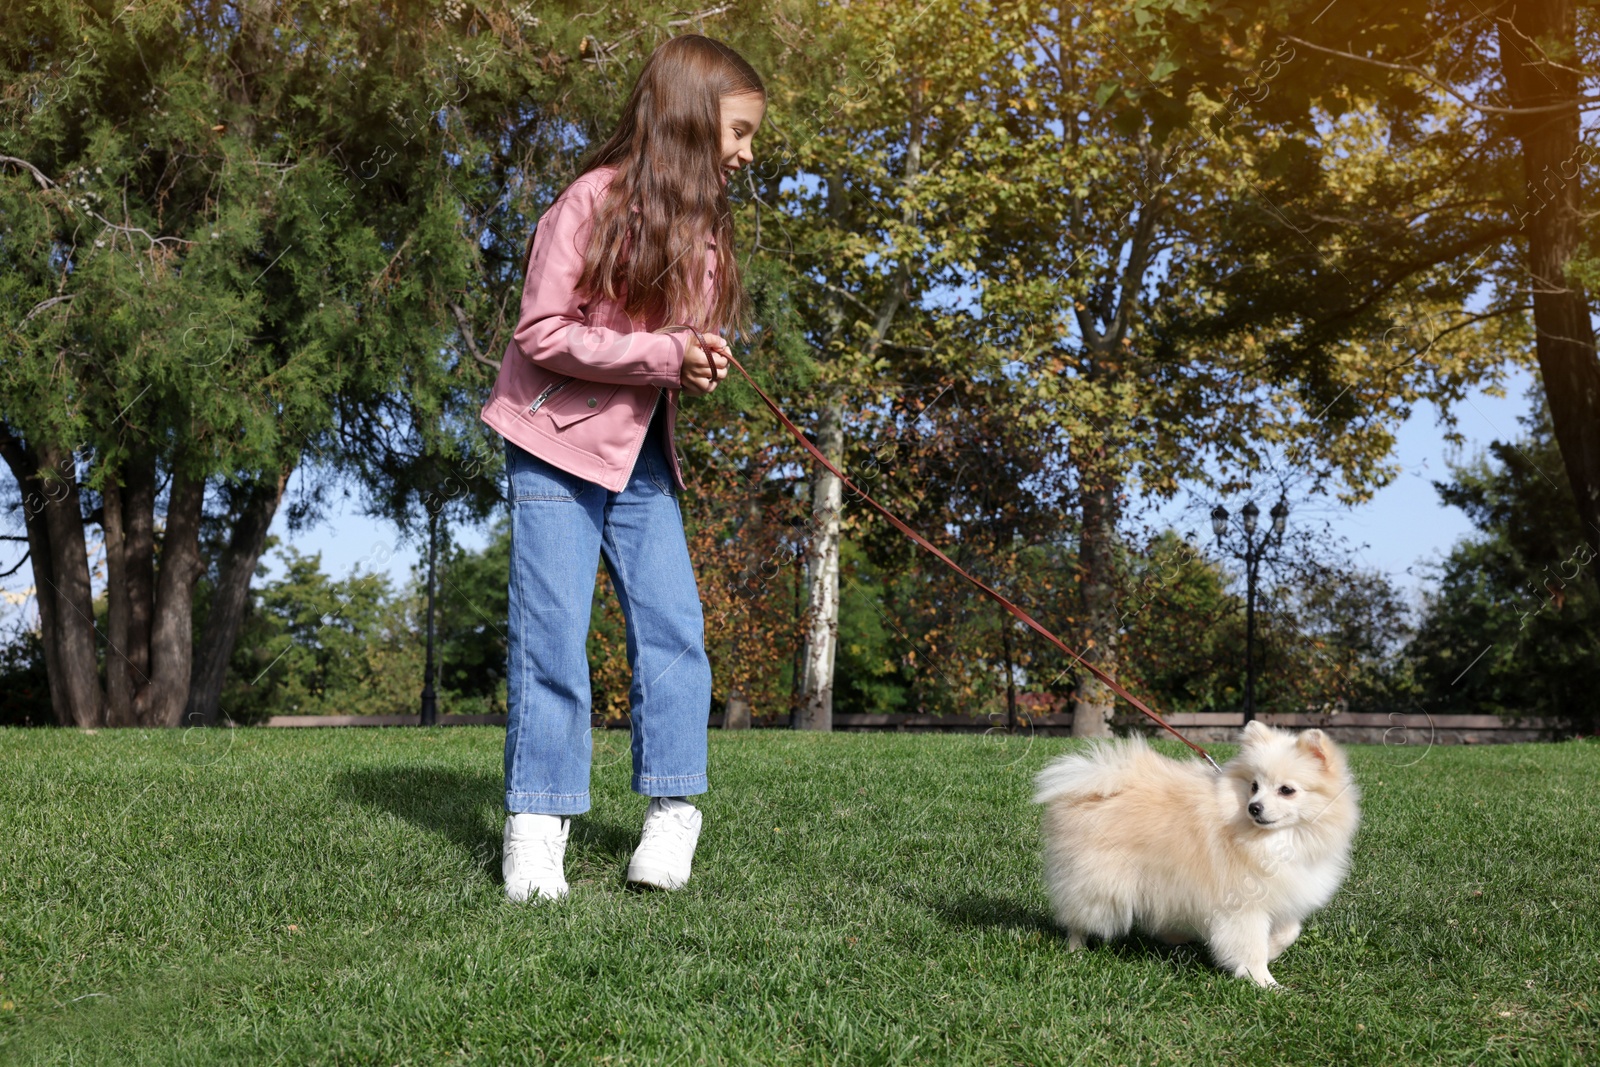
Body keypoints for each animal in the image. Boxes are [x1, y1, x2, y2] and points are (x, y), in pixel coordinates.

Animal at [1030, 723, 1356, 991]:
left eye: (1286, 790)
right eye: (1254, 786)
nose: (1254, 807)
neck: (1276, 839)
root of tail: (1090, 787)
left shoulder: (1284, 893)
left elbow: (1290, 931)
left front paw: (1273, 950)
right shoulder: (1244, 906)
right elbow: (1250, 946)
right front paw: (1264, 982)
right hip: (1102, 885)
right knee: (1079, 919)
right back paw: (1075, 951)